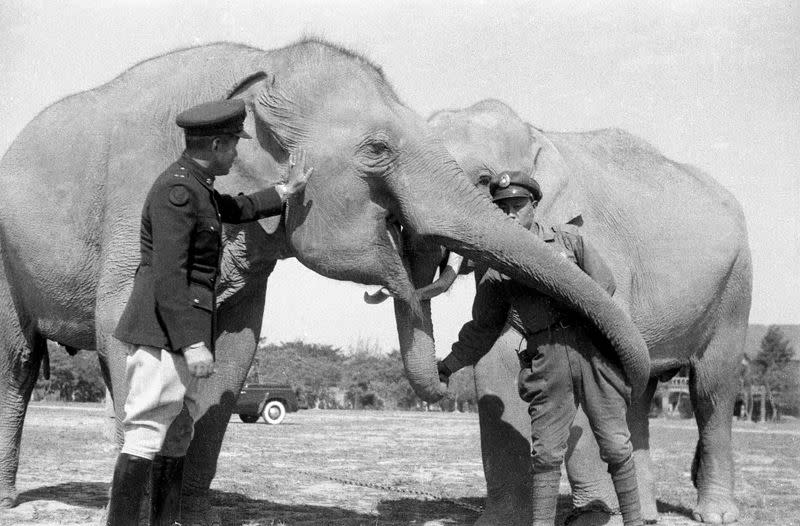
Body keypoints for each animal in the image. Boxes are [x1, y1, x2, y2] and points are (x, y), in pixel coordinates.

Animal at [0, 41, 648, 524]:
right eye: (378, 148)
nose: (446, 371)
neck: (267, 63)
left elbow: (232, 355)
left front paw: (191, 515)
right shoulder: (140, 202)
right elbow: (125, 330)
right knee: (18, 363)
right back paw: (11, 501)